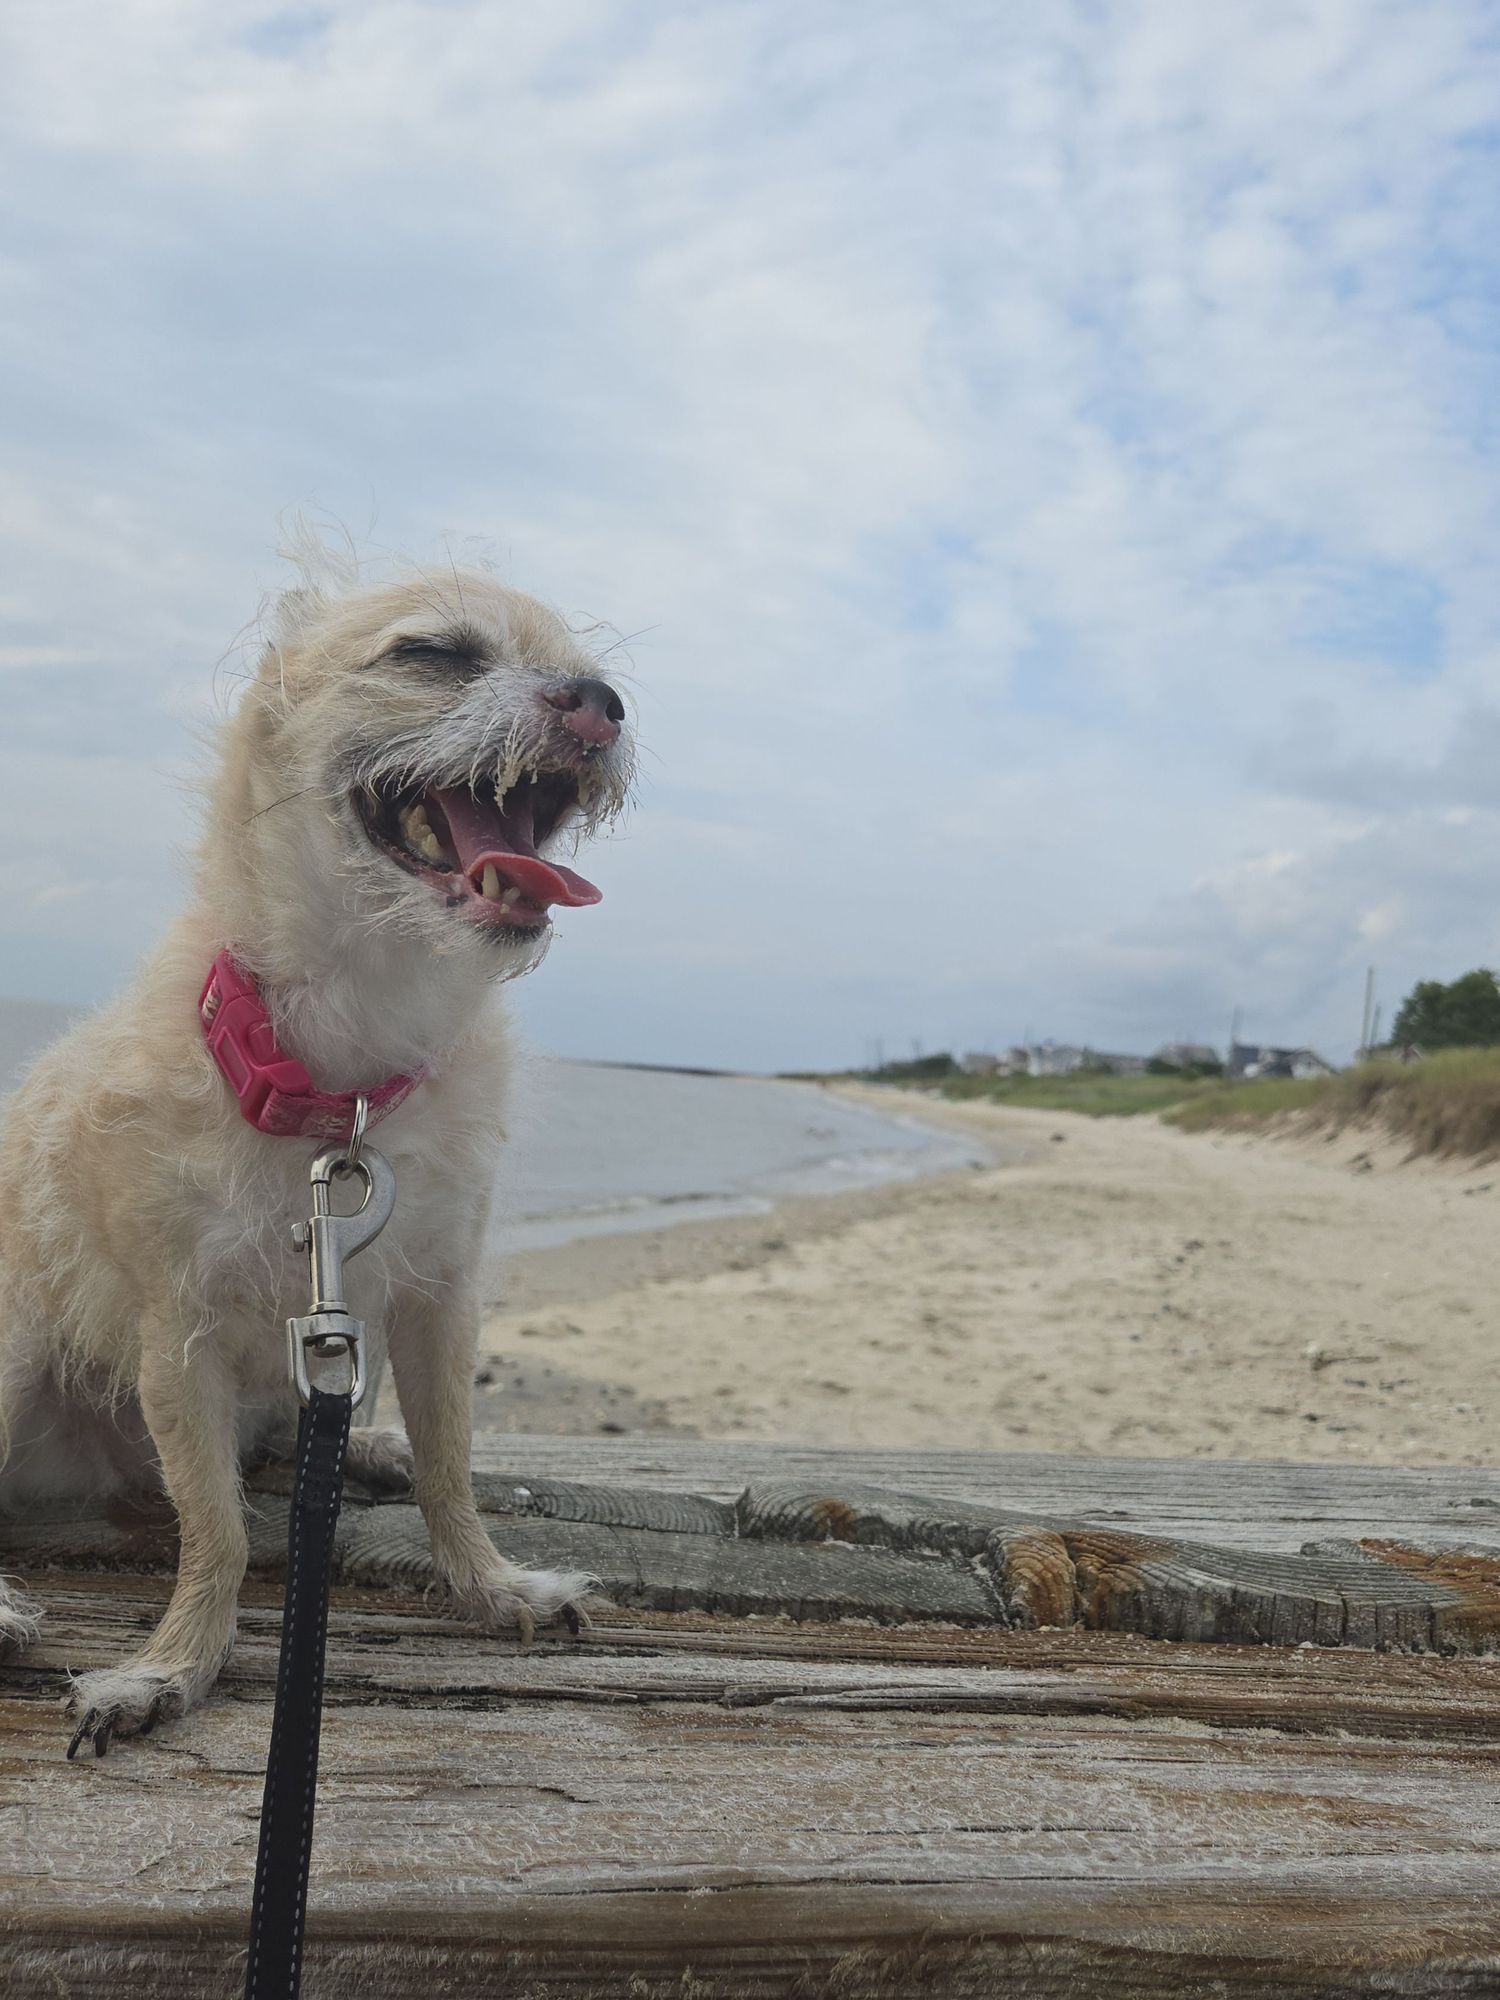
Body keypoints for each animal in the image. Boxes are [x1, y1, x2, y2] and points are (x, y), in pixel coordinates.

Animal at [0, 544, 636, 1752]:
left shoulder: (437, 1300)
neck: (342, 1084)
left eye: (597, 675)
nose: (602, 704)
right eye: (434, 653)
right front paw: (171, 1668)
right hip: (11, 1347)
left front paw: (492, 1587)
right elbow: (217, 1529)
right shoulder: (178, 1337)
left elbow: (451, 1464)